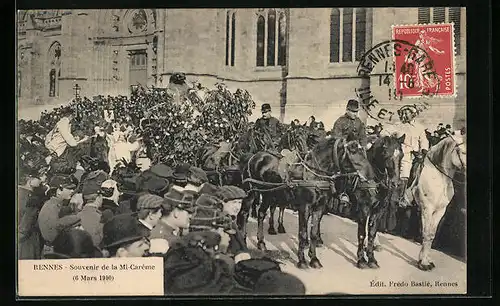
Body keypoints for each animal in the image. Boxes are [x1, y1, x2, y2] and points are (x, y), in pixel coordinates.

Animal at [412, 134, 466, 270]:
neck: (440, 178)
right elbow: (426, 233)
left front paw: (426, 260)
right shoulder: (427, 209)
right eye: (463, 151)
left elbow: (431, 234)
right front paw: (423, 263)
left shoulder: (440, 211)